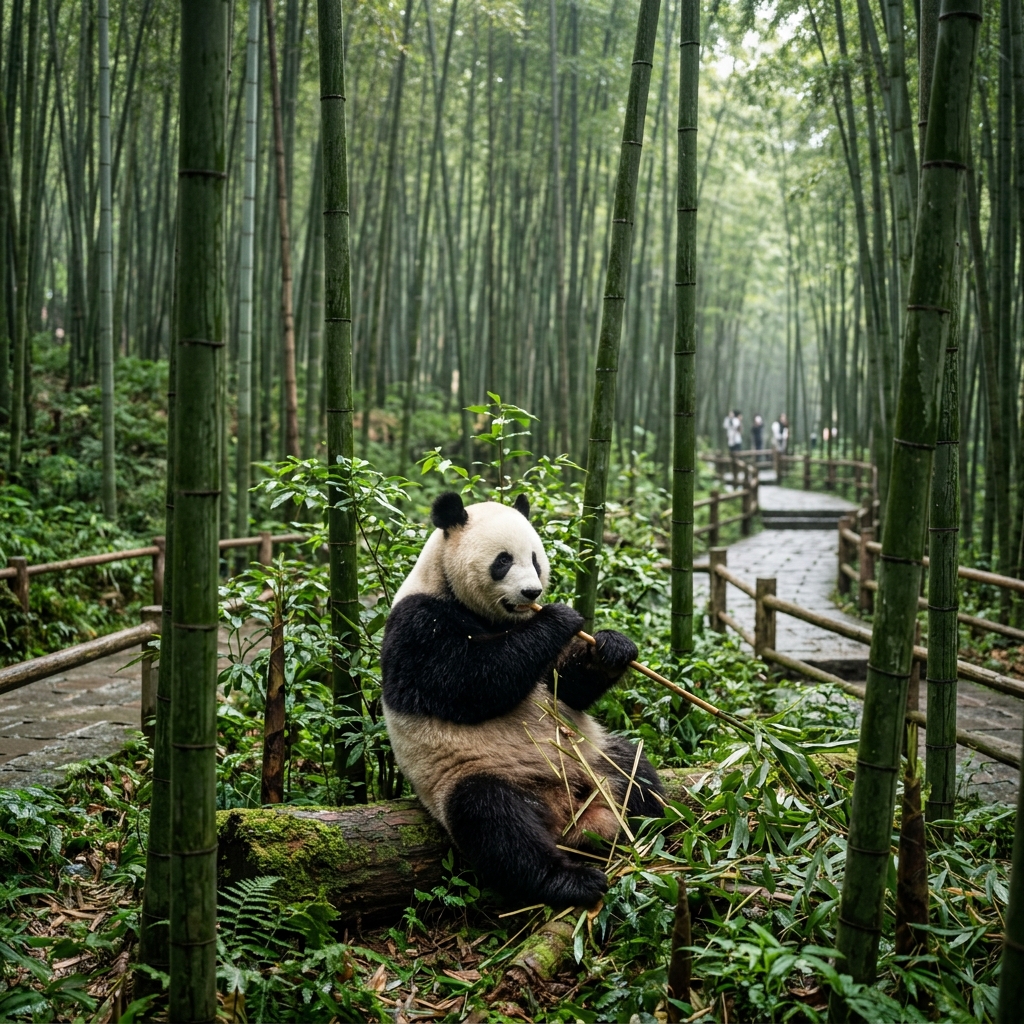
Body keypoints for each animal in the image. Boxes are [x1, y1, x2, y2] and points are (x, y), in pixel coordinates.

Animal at [380, 490, 664, 909]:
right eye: (502, 561)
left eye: (535, 559)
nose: (532, 593)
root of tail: (567, 811)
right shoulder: (418, 624)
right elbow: (470, 681)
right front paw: (560, 618)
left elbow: (564, 687)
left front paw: (611, 647)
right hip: (473, 774)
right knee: (496, 823)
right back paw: (571, 880)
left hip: (594, 757)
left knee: (634, 771)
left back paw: (652, 826)